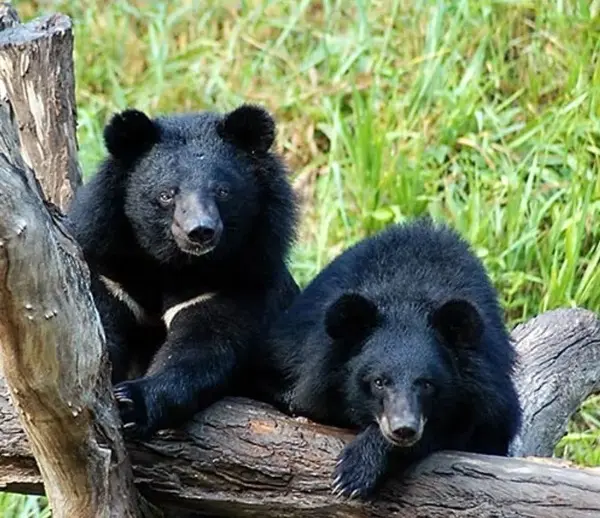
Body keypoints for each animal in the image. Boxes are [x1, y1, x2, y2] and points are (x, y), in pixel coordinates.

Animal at [68, 104, 300, 438]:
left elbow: (202, 349)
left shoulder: (239, 281)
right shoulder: (108, 271)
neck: (174, 264)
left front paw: (132, 402)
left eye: (223, 191)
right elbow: (98, 337)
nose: (200, 231)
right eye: (167, 194)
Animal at [255, 218, 524, 500]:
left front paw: (354, 471)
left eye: (427, 384)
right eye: (379, 382)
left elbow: (466, 428)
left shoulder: (488, 389)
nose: (403, 429)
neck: (407, 295)